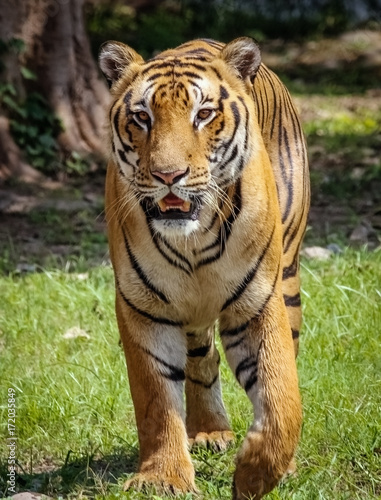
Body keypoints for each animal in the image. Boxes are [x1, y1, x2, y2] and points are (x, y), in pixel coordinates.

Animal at [98, 36, 308, 500]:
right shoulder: (143, 308)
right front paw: (163, 477)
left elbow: (282, 396)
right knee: (201, 359)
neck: (193, 240)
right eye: (142, 117)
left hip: (287, 277)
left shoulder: (258, 303)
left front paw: (256, 474)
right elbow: (156, 400)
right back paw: (208, 431)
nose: (168, 175)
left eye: (204, 114)